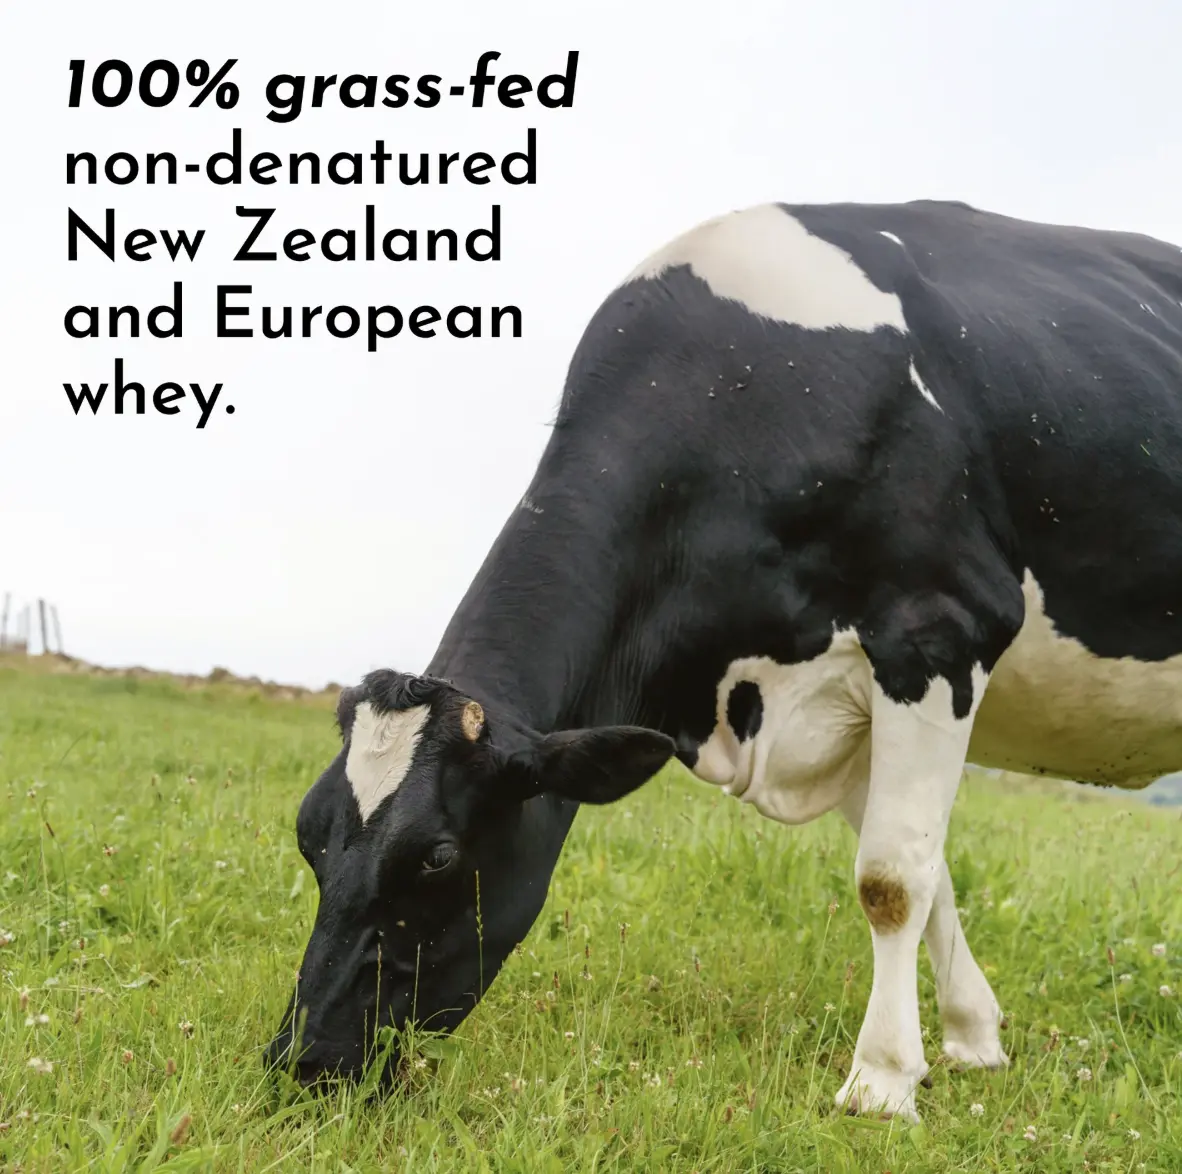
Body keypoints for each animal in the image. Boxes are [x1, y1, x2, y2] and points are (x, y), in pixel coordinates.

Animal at [266, 199, 1182, 1122]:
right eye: (309, 834)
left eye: (440, 856)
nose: (300, 1060)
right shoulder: (838, 698)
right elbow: (933, 879)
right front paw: (970, 1039)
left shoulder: (938, 630)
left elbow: (892, 881)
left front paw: (882, 1081)